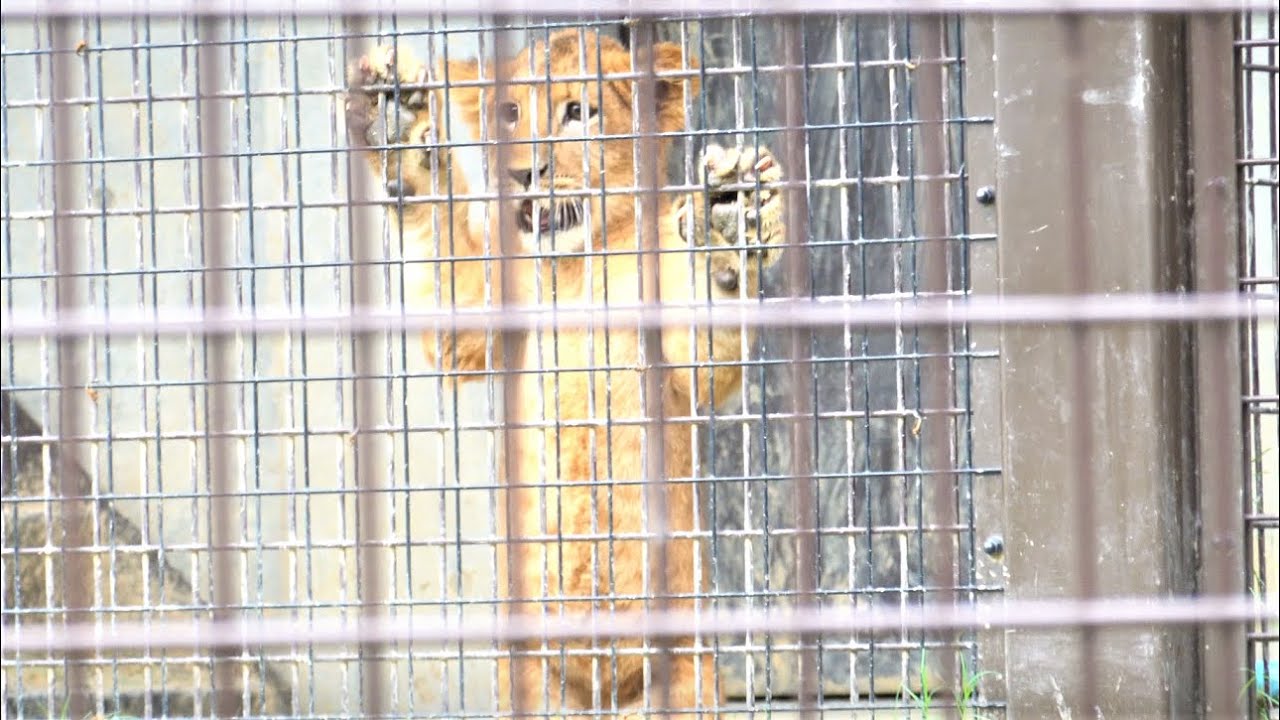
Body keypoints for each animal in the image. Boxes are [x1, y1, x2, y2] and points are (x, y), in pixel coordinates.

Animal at [345, 29, 786, 719]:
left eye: (578, 112)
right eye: (509, 113)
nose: (522, 172)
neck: (572, 270)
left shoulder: (679, 346)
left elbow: (709, 335)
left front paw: (728, 219)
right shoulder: (479, 315)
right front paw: (396, 124)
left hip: (685, 675)